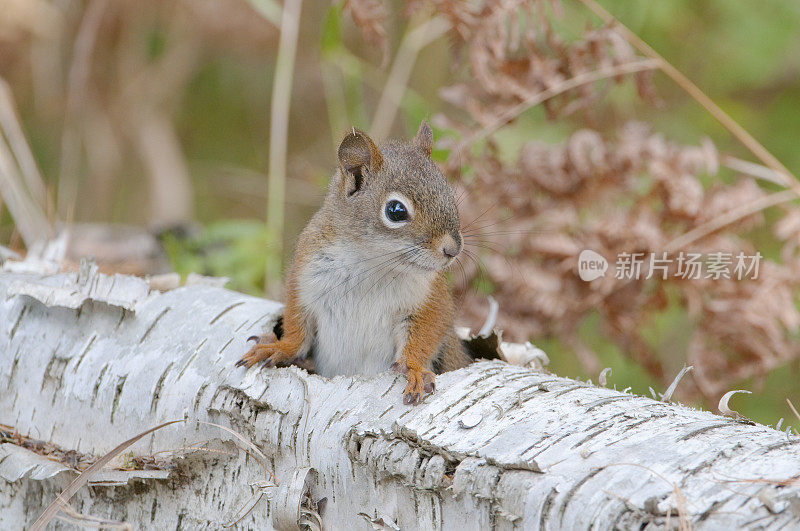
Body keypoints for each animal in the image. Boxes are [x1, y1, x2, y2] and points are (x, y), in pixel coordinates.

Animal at [238, 122, 476, 406]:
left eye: (449, 193)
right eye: (396, 211)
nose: (453, 250)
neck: (371, 264)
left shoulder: (430, 298)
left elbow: (427, 332)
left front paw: (415, 368)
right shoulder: (304, 279)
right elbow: (296, 326)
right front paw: (279, 347)